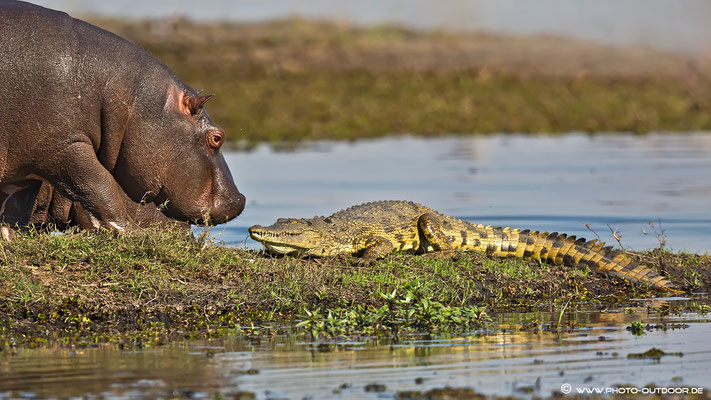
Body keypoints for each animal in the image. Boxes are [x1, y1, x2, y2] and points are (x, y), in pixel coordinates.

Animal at [0, 0, 245, 236]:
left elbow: (17, 206)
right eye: (217, 138)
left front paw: (12, 238)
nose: (239, 200)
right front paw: (136, 233)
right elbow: (100, 185)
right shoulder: (64, 146)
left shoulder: (27, 164)